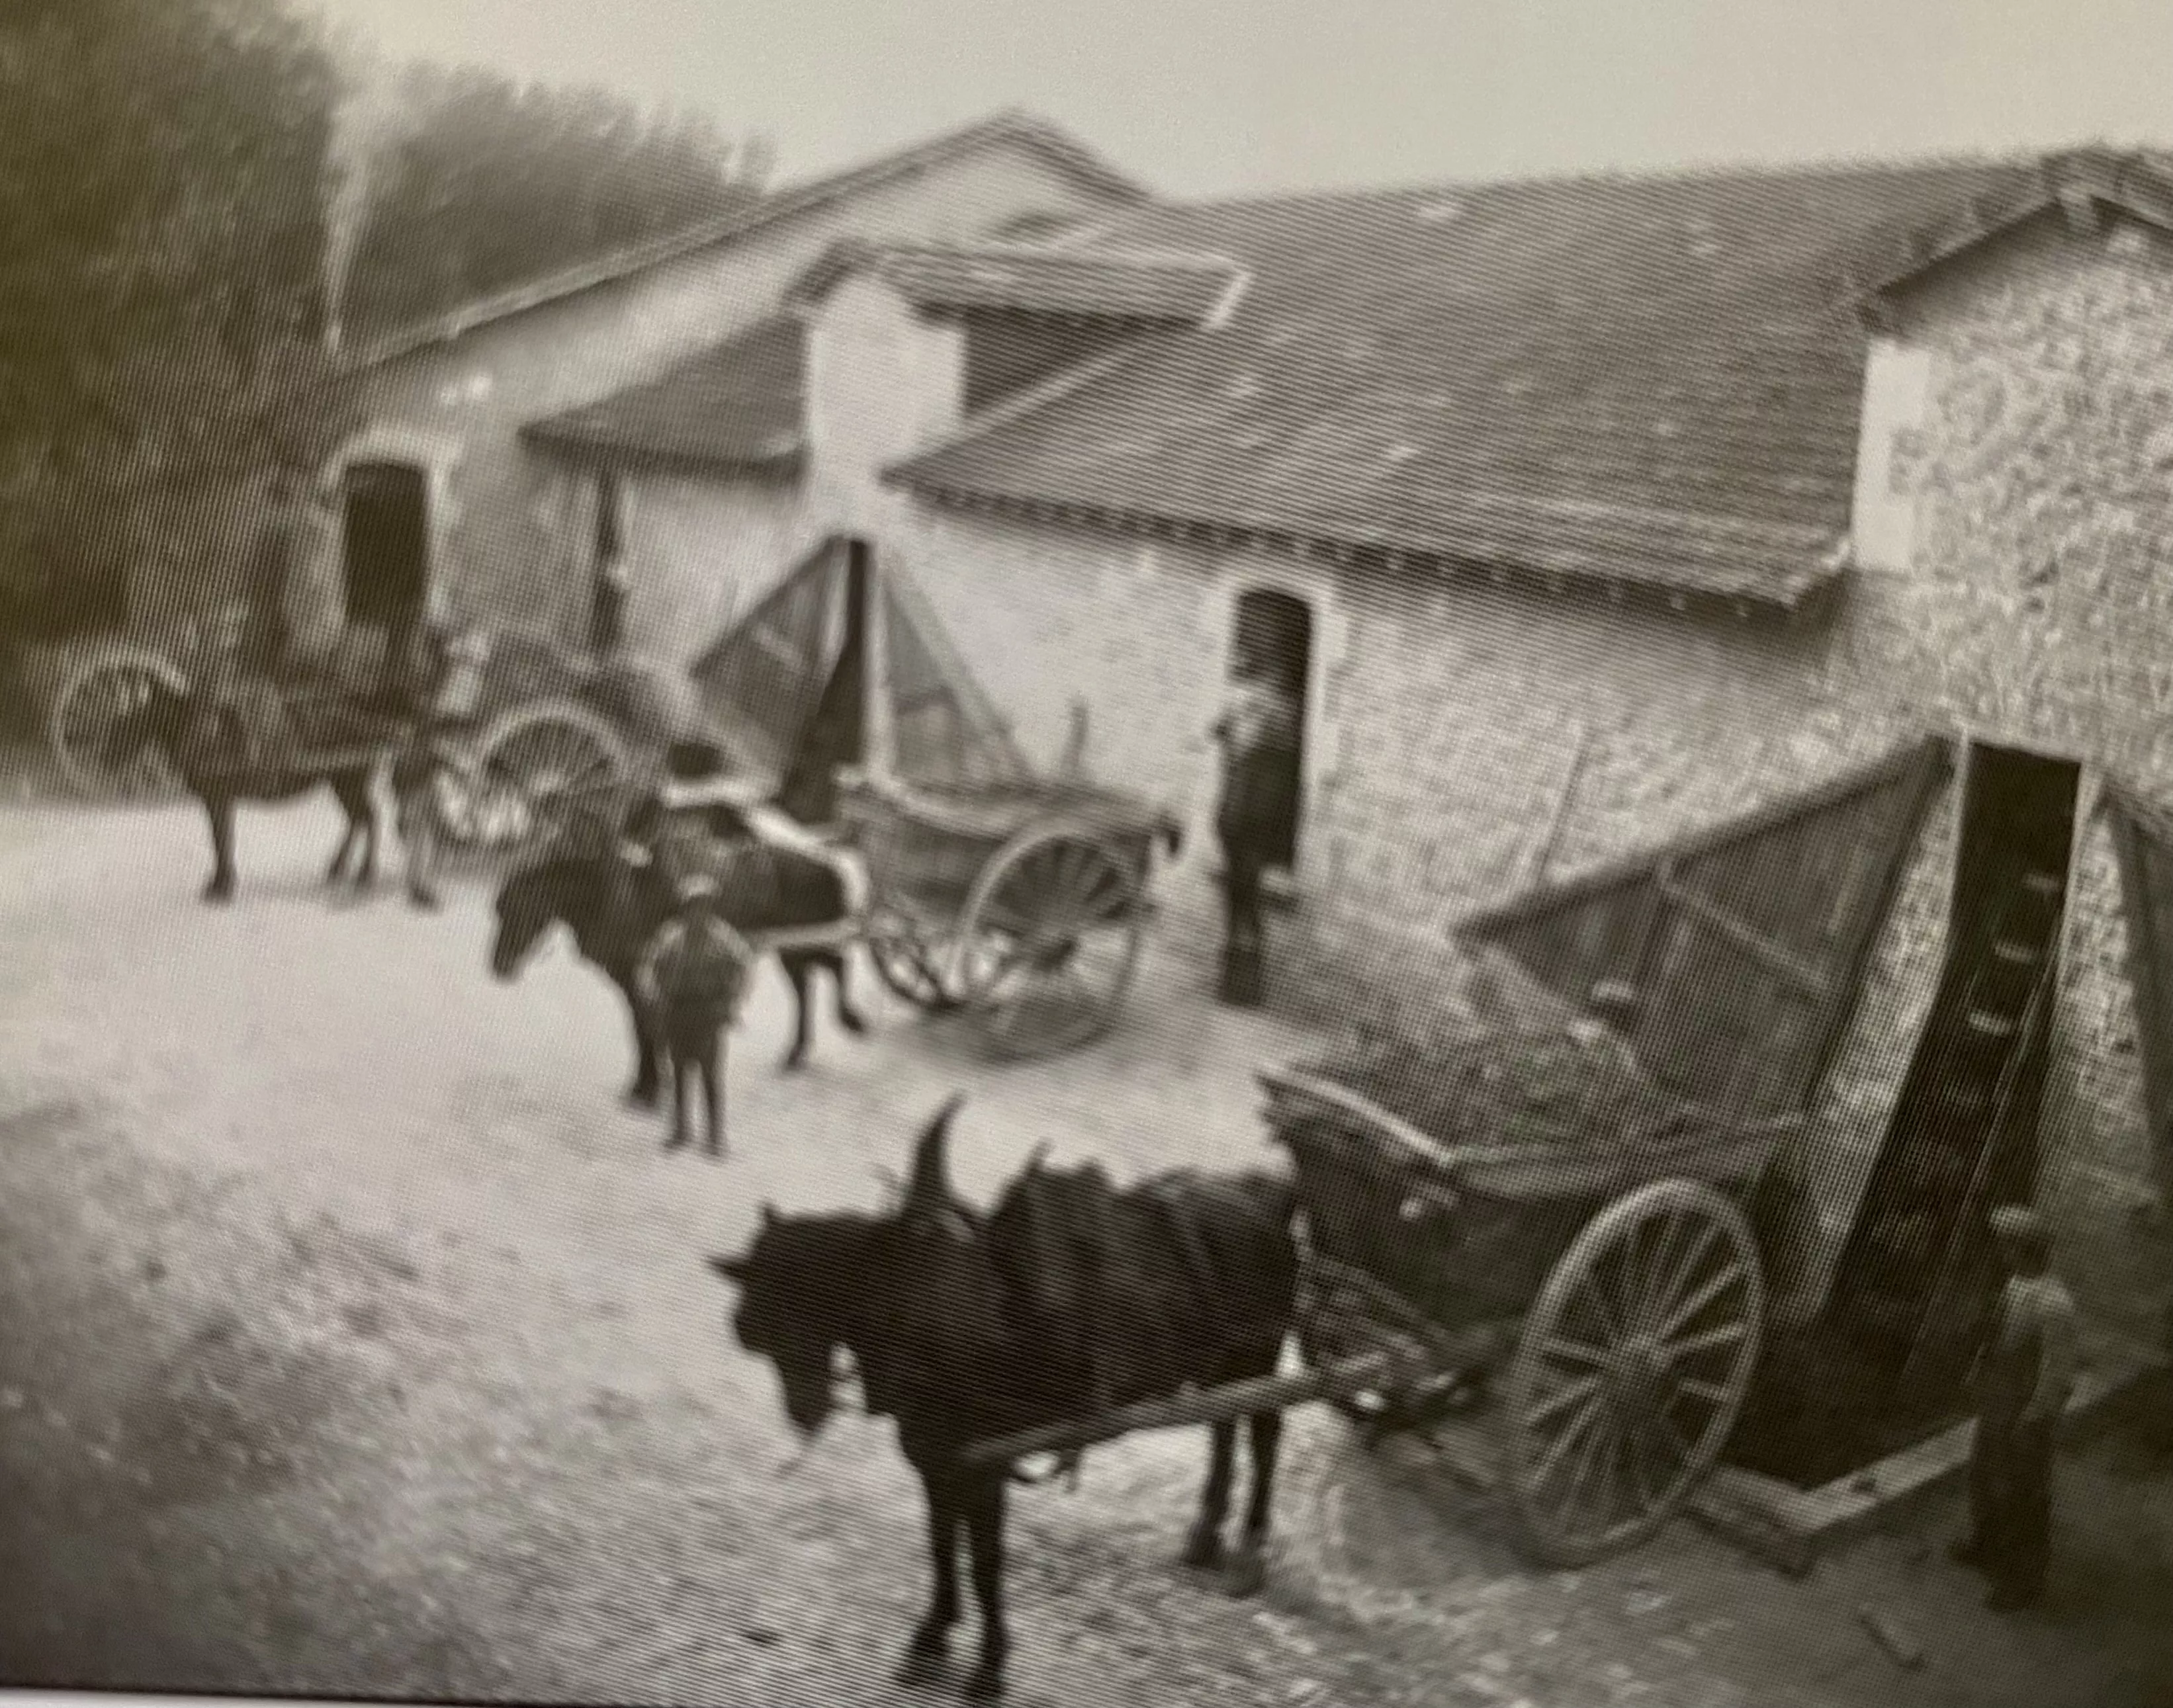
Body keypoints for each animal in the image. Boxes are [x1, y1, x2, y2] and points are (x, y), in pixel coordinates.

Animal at [101, 673, 382, 904]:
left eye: (133, 713)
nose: (105, 753)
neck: (195, 729)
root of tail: (364, 719)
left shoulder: (218, 795)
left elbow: (222, 839)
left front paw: (222, 887)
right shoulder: (214, 797)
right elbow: (220, 839)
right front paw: (221, 883)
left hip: (350, 779)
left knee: (368, 817)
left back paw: (365, 874)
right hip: (340, 780)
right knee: (358, 818)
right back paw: (339, 868)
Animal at [493, 821, 865, 1091]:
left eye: (516, 908)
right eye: (500, 908)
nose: (498, 966)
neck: (620, 897)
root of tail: (826, 865)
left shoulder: (640, 974)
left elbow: (645, 1026)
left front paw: (650, 1087)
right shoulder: (631, 978)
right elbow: (640, 1025)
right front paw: (648, 1082)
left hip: (806, 941)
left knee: (836, 965)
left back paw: (850, 1019)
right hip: (791, 948)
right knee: (807, 986)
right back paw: (796, 1053)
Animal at [713, 1091, 1295, 1686]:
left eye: (789, 1310)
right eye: (753, 1329)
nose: (803, 1408)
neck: (921, 1306)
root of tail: (1263, 1196)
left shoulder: (986, 1462)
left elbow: (985, 1558)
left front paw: (990, 1663)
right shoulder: (936, 1458)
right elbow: (941, 1543)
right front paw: (934, 1633)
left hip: (1257, 1354)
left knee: (1264, 1435)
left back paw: (1250, 1547)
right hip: (1223, 1367)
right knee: (1224, 1428)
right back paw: (1207, 1534)